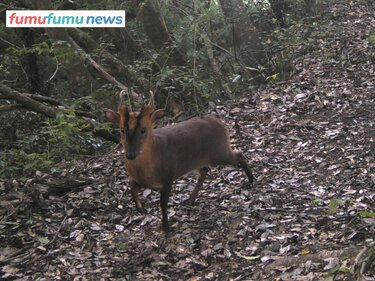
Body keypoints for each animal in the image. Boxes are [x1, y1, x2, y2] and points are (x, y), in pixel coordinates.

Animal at [106, 104, 256, 231]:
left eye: (143, 130)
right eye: (122, 130)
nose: (130, 154)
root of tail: (220, 122)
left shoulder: (167, 178)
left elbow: (163, 203)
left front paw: (166, 227)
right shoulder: (139, 179)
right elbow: (131, 185)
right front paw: (141, 209)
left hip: (219, 151)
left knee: (239, 154)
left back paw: (251, 179)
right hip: (196, 161)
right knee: (205, 170)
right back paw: (190, 200)